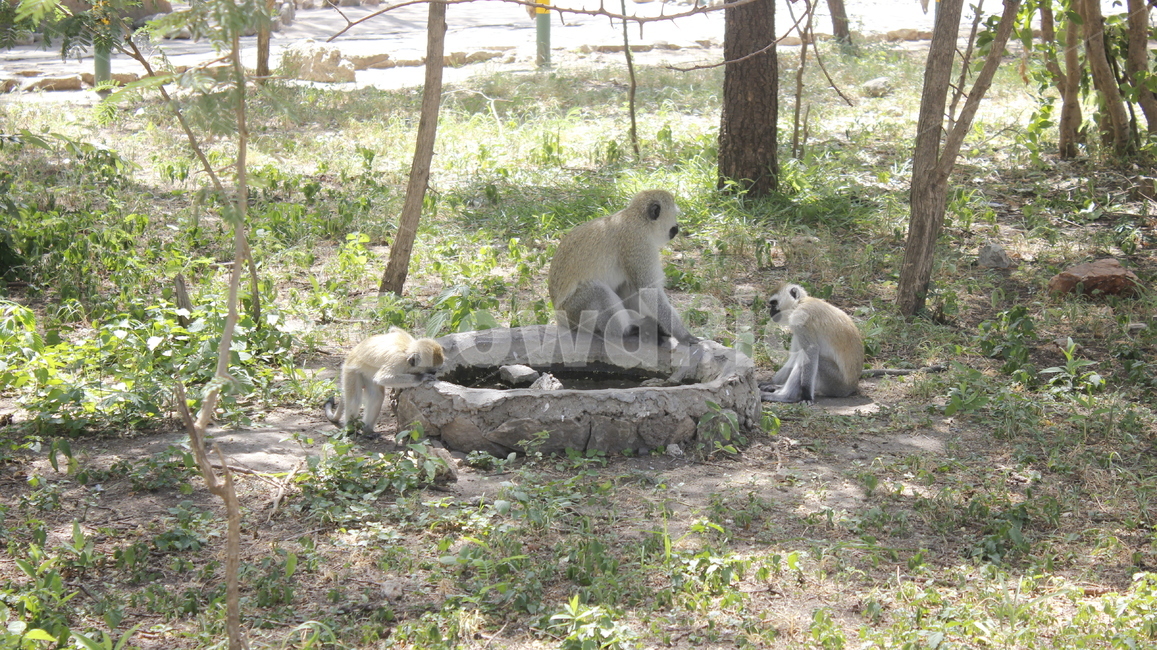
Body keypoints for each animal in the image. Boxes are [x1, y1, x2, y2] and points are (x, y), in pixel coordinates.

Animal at [547, 189, 698, 347]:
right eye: (674, 215)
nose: (677, 226)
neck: (638, 218)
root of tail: (560, 319)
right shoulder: (638, 244)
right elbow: (649, 290)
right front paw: (683, 334)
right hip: (575, 312)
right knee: (597, 291)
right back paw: (628, 330)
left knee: (626, 284)